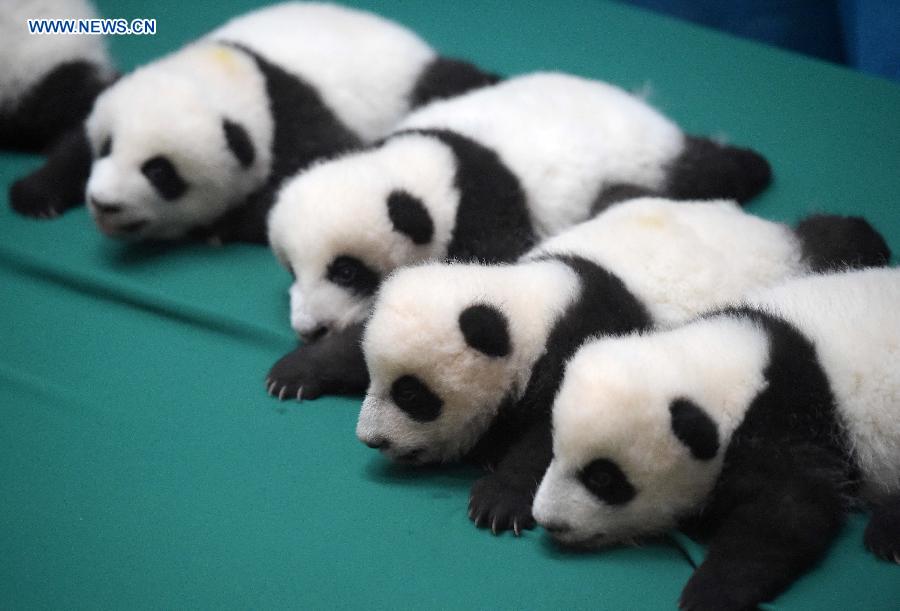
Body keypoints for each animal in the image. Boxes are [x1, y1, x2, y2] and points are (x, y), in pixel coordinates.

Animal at [266, 72, 773, 398]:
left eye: (346, 271)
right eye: (292, 271)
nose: (308, 329)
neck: (435, 157)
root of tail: (640, 107)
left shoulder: (486, 207)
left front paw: (301, 369)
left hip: (650, 159)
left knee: (703, 168)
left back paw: (751, 164)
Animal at [354, 197, 890, 535]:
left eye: (411, 394)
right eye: (375, 380)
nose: (371, 440)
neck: (538, 299)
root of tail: (764, 227)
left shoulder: (584, 337)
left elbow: (548, 435)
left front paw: (498, 500)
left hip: (800, 266)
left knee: (837, 237)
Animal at [532, 266, 900, 610]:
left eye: (603, 478)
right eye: (555, 452)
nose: (548, 522)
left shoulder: (792, 417)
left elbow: (790, 510)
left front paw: (711, 591)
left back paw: (885, 534)